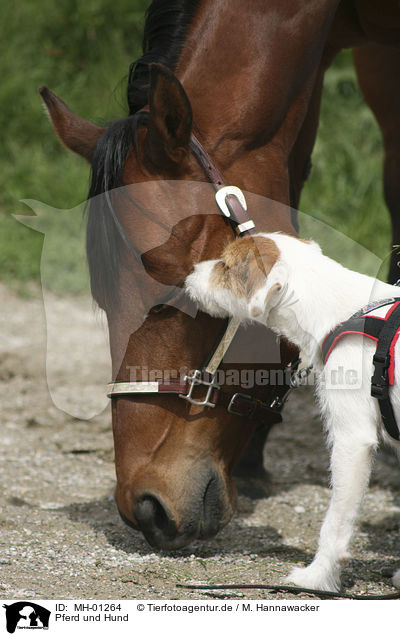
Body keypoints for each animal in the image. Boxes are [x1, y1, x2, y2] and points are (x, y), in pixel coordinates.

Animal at [185, 232, 400, 592]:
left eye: (226, 266)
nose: (188, 274)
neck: (334, 308)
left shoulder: (352, 440)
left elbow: (335, 521)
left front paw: (317, 577)